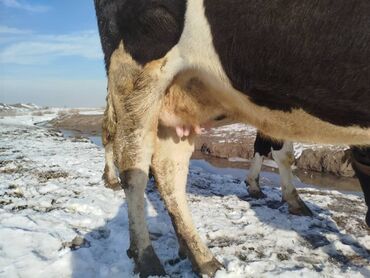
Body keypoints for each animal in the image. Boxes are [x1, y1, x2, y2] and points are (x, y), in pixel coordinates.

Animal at [93, 1, 370, 276]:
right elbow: (278, 150)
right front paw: (274, 191)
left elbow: (273, 148)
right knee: (131, 162)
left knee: (168, 168)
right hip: (135, 72)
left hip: (180, 94)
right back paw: (146, 258)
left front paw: (265, 188)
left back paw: (201, 258)